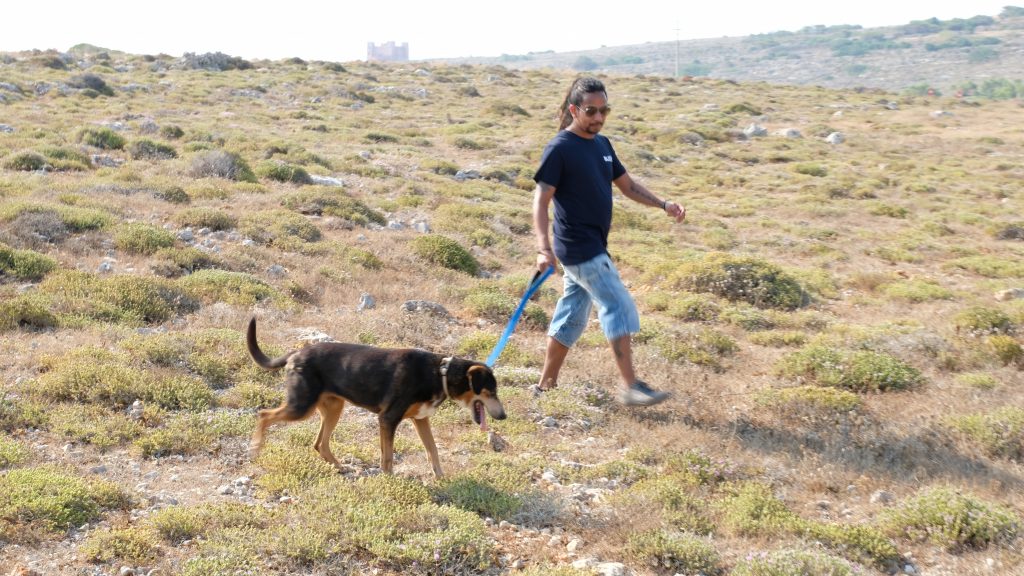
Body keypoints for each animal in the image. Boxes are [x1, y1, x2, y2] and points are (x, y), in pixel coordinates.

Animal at [244, 315, 507, 473]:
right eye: (491, 391)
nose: (504, 416)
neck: (439, 372)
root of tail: (295, 353)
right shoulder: (388, 419)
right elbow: (388, 457)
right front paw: (388, 481)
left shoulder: (420, 420)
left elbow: (433, 450)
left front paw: (441, 477)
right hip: (301, 406)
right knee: (264, 415)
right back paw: (255, 448)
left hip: (333, 408)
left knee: (320, 444)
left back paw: (340, 467)